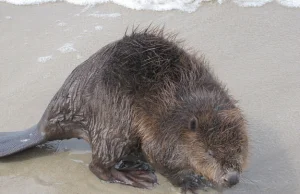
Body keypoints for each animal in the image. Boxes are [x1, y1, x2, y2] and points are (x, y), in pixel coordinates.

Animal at [0, 26, 248, 193]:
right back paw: (136, 176)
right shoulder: (161, 130)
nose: (232, 179)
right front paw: (192, 182)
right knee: (98, 166)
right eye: (209, 152)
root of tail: (42, 127)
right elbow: (160, 157)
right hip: (113, 125)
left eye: (239, 148)